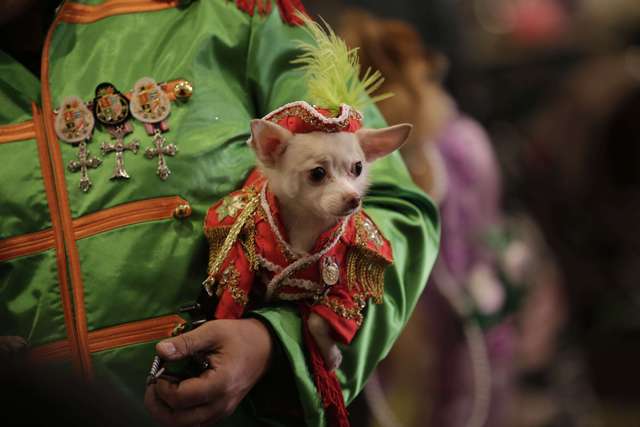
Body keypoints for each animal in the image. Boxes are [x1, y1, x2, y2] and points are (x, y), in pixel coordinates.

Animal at [248, 119, 412, 372]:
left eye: (358, 168)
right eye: (317, 173)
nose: (354, 198)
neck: (309, 224)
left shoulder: (348, 285)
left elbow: (318, 320)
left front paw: (331, 354)